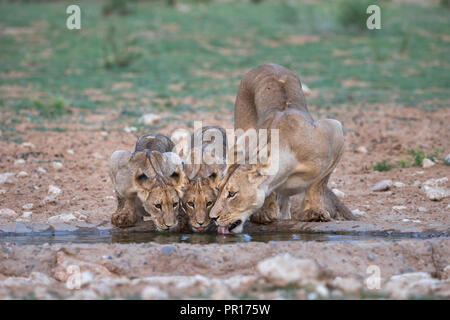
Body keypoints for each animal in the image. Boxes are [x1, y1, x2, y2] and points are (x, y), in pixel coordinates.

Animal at [209, 63, 356, 232]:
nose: (212, 218)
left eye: (232, 194)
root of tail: (268, 64)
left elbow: (318, 183)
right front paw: (265, 213)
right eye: (218, 189)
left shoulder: (335, 131)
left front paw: (314, 212)